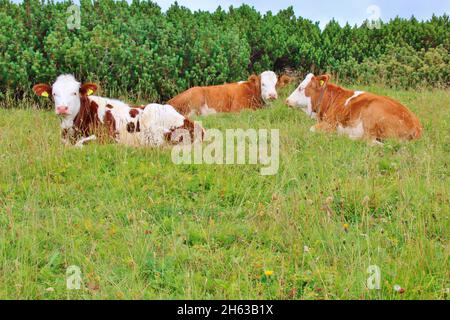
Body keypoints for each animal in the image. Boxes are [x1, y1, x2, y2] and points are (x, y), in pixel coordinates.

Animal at [286, 74, 424, 144]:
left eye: (301, 87)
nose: (286, 100)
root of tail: (416, 126)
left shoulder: (330, 124)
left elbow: (311, 129)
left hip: (372, 116)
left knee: (368, 140)